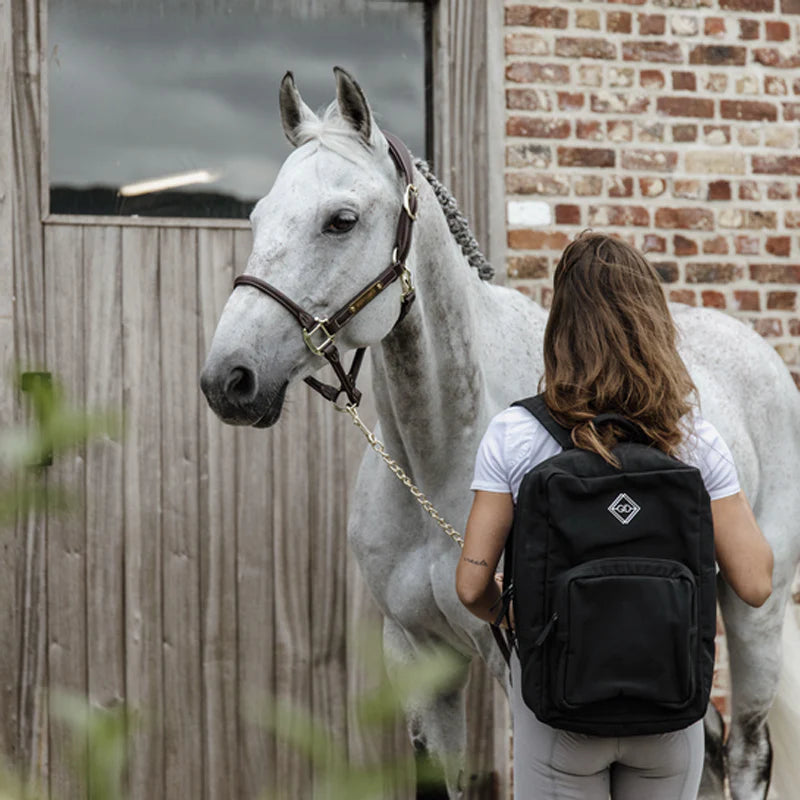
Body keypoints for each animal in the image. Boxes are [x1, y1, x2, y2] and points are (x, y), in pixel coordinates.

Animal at [202, 69, 800, 800]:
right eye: (257, 217)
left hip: (754, 614)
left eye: (340, 220)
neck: (443, 454)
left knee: (746, 752)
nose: (229, 378)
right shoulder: (418, 659)